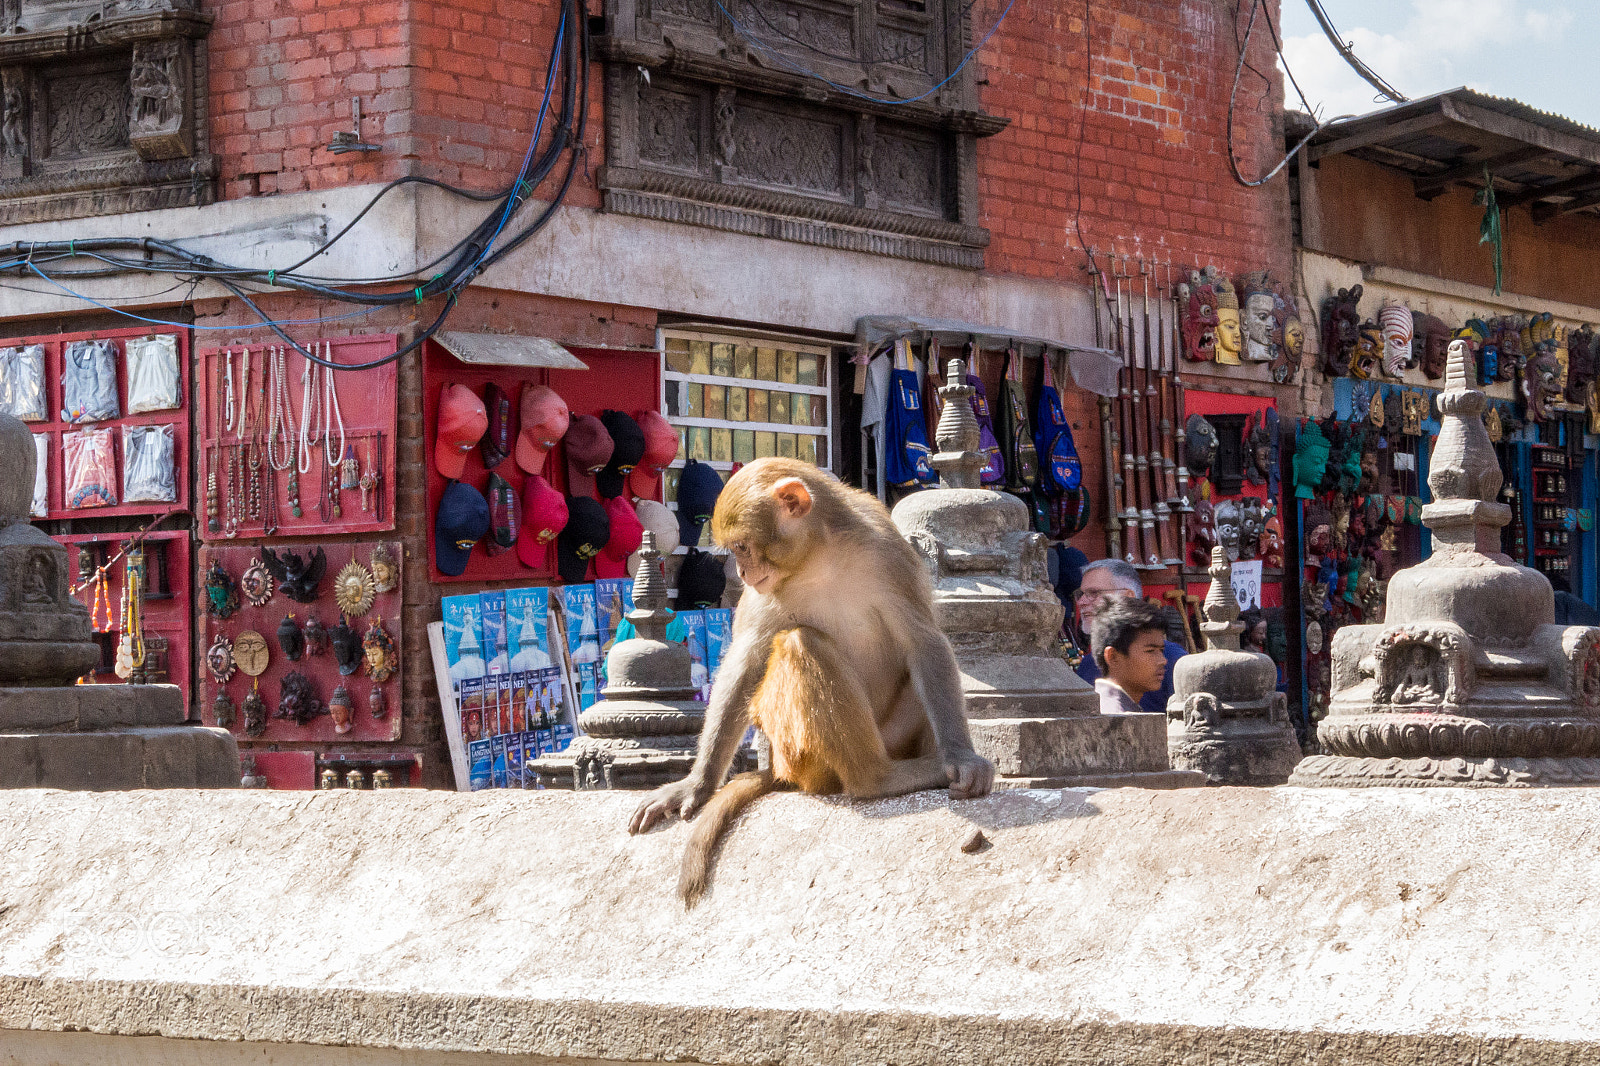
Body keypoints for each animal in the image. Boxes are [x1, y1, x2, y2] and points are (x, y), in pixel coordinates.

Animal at [629, 457, 995, 905]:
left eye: (742, 547)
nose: (743, 572)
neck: (818, 557)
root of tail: (778, 769)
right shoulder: (765, 591)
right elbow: (746, 662)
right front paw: (696, 784)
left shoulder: (888, 552)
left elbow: (923, 641)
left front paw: (961, 756)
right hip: (800, 755)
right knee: (802, 642)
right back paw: (879, 780)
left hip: (889, 735)